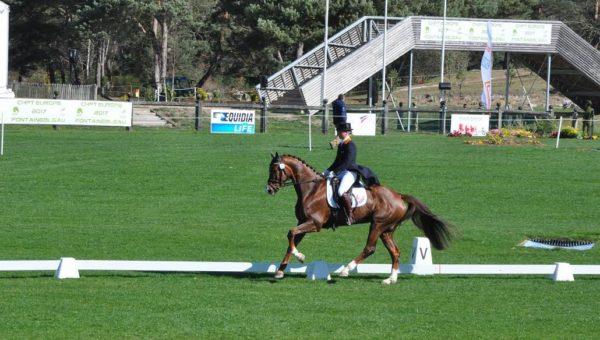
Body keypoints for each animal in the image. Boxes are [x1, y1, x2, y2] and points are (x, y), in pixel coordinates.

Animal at [264, 153, 458, 284]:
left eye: (274, 169)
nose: (269, 190)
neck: (311, 189)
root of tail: (398, 195)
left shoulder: (315, 224)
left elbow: (290, 234)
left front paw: (300, 257)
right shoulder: (303, 223)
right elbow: (291, 240)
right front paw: (280, 271)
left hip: (377, 224)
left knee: (370, 248)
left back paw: (346, 270)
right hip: (386, 230)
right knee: (394, 252)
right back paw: (390, 279)